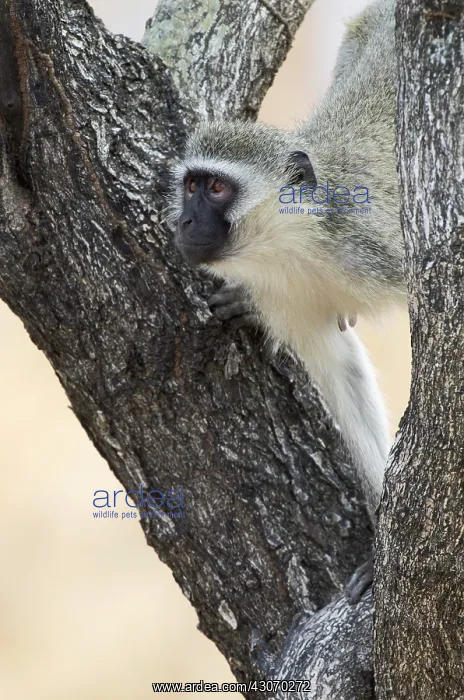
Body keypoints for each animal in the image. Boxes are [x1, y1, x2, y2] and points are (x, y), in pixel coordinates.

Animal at [169, 0, 403, 602]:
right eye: (190, 186)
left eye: (217, 189)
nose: (183, 223)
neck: (296, 245)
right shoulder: (285, 297)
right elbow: (340, 372)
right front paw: (381, 541)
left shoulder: (376, 250)